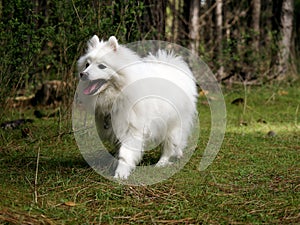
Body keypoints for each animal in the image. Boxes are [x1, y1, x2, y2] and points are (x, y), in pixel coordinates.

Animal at [77, 35, 197, 179]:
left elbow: (126, 152)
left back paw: (161, 163)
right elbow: (119, 149)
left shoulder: (132, 128)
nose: (82, 74)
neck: (119, 93)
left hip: (173, 124)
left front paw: (121, 173)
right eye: (87, 64)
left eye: (102, 66)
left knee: (169, 145)